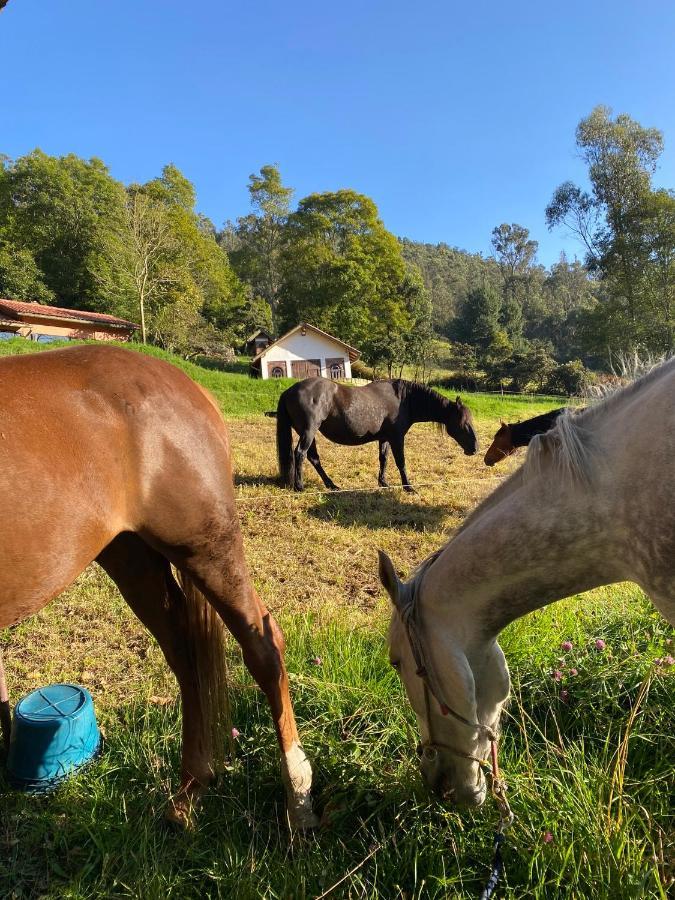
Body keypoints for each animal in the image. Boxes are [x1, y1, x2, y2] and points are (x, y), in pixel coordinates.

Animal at [0, 346, 316, 828]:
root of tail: (190, 386)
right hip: (131, 557)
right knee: (187, 656)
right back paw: (191, 792)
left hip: (206, 549)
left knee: (261, 645)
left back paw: (297, 799)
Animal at [276, 378, 480, 496]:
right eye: (463, 424)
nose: (475, 448)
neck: (403, 399)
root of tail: (288, 391)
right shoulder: (397, 438)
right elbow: (400, 462)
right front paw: (408, 487)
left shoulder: (385, 438)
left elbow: (384, 459)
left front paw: (383, 483)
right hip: (309, 431)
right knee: (300, 453)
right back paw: (300, 486)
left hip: (308, 433)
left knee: (313, 458)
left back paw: (331, 485)